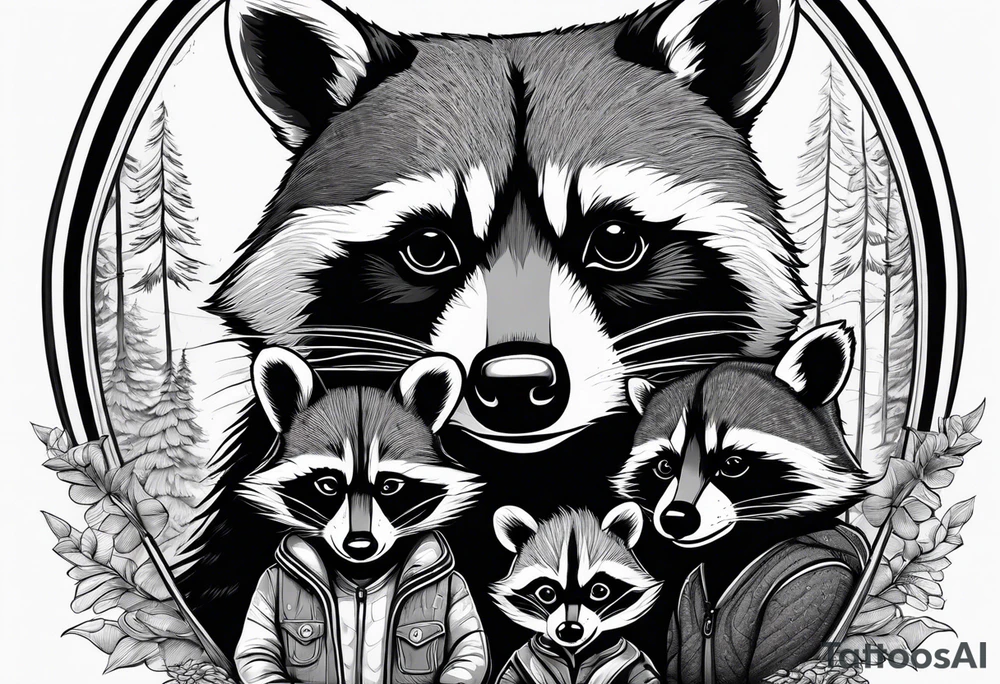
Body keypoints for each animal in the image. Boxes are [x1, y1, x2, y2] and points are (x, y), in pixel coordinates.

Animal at [490, 504, 661, 684]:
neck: (574, 655)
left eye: (599, 591)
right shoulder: (518, 662)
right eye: (546, 593)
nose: (569, 630)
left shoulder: (638, 663)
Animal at [612, 322, 872, 682]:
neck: (737, 546)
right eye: (665, 467)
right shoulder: (684, 601)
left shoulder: (817, 583)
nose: (675, 518)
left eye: (732, 464)